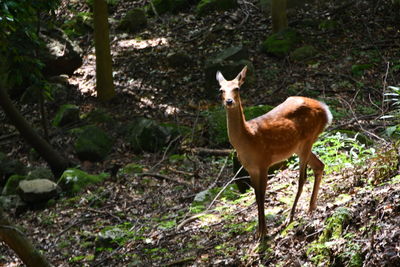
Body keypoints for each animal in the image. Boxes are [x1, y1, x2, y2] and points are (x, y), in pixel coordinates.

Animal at [217, 66, 332, 240]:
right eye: (221, 90)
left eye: (237, 88)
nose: (229, 101)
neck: (248, 139)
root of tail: (326, 111)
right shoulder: (250, 168)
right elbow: (256, 195)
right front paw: (259, 232)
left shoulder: (264, 162)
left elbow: (262, 194)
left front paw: (263, 232)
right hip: (301, 146)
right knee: (319, 165)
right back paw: (311, 208)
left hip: (307, 140)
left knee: (302, 178)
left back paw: (290, 217)